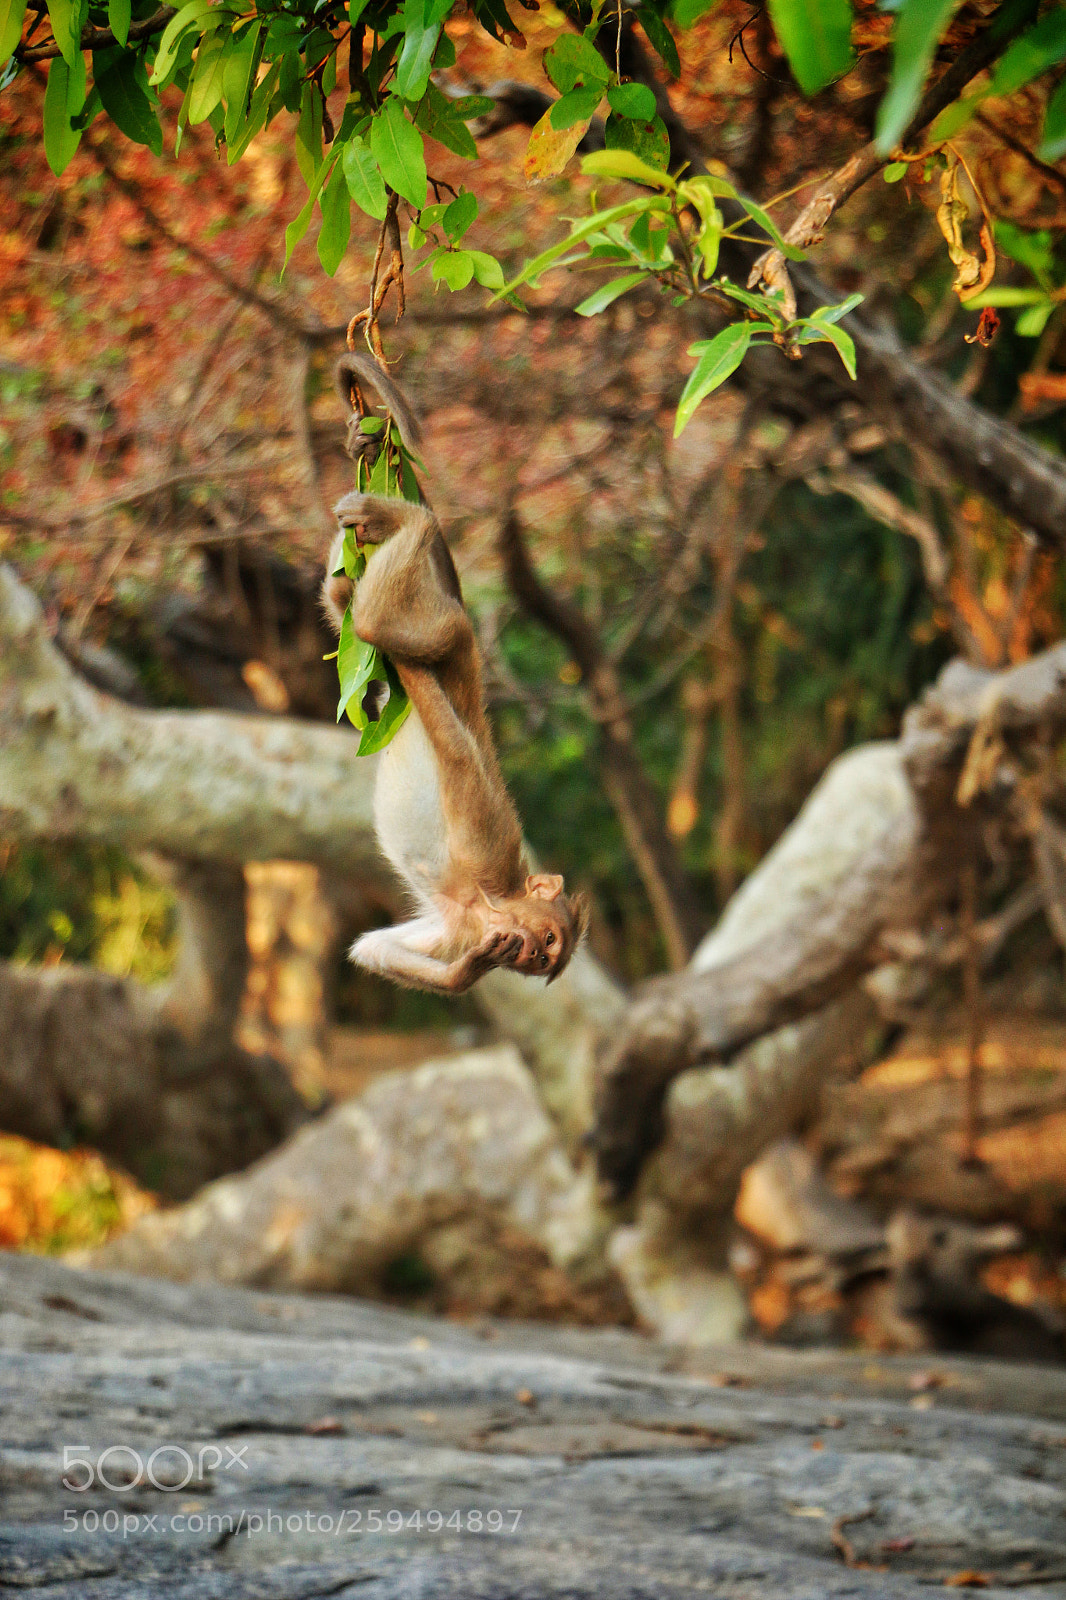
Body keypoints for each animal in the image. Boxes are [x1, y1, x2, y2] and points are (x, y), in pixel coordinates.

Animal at [323, 352, 588, 994]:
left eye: (544, 959)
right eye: (548, 942)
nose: (526, 955)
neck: (489, 901)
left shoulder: (457, 925)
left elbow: (371, 949)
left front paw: (470, 971)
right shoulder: (486, 845)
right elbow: (460, 757)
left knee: (346, 603)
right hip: (445, 626)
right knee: (415, 626)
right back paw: (404, 518)